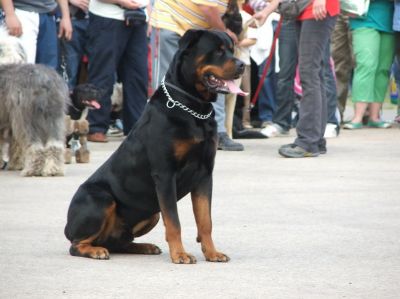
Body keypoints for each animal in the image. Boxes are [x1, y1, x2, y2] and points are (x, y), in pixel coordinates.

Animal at [64, 29, 245, 264]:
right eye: (218, 51)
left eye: (231, 49)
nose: (242, 65)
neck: (194, 107)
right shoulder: (165, 174)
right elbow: (174, 221)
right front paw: (180, 254)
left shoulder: (205, 174)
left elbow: (205, 220)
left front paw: (212, 252)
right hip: (100, 199)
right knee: (77, 243)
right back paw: (94, 250)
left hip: (152, 213)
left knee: (119, 242)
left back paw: (144, 247)